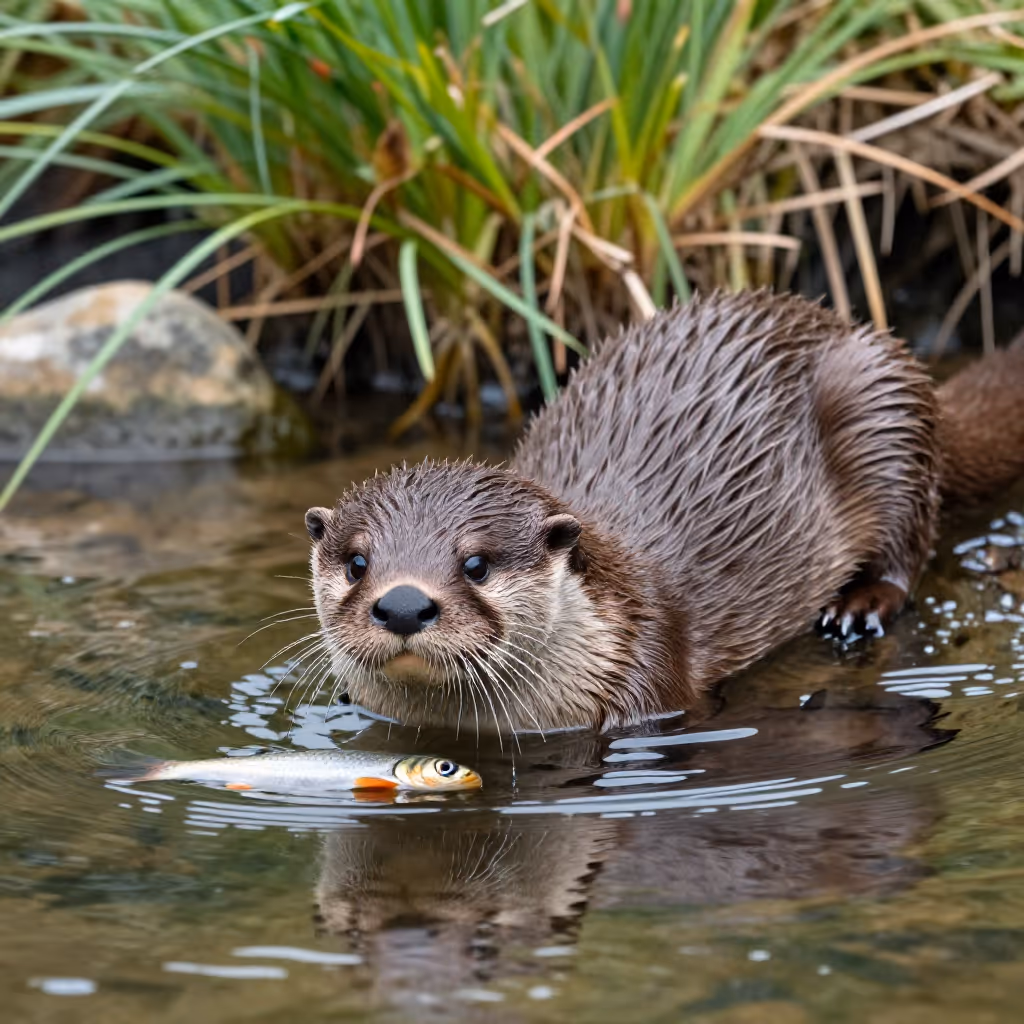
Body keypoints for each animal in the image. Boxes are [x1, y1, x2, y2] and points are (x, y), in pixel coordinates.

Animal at [304, 290, 1024, 732]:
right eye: (358, 562)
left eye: (476, 563)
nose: (403, 604)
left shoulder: (651, 673)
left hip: (882, 405)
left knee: (908, 543)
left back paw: (860, 607)